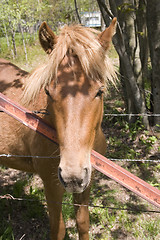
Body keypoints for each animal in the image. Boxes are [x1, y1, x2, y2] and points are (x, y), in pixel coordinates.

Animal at [0, 18, 117, 240]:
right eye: (48, 91)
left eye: (99, 91)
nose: (72, 176)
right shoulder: (52, 185)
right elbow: (58, 228)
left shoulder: (86, 183)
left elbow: (82, 222)